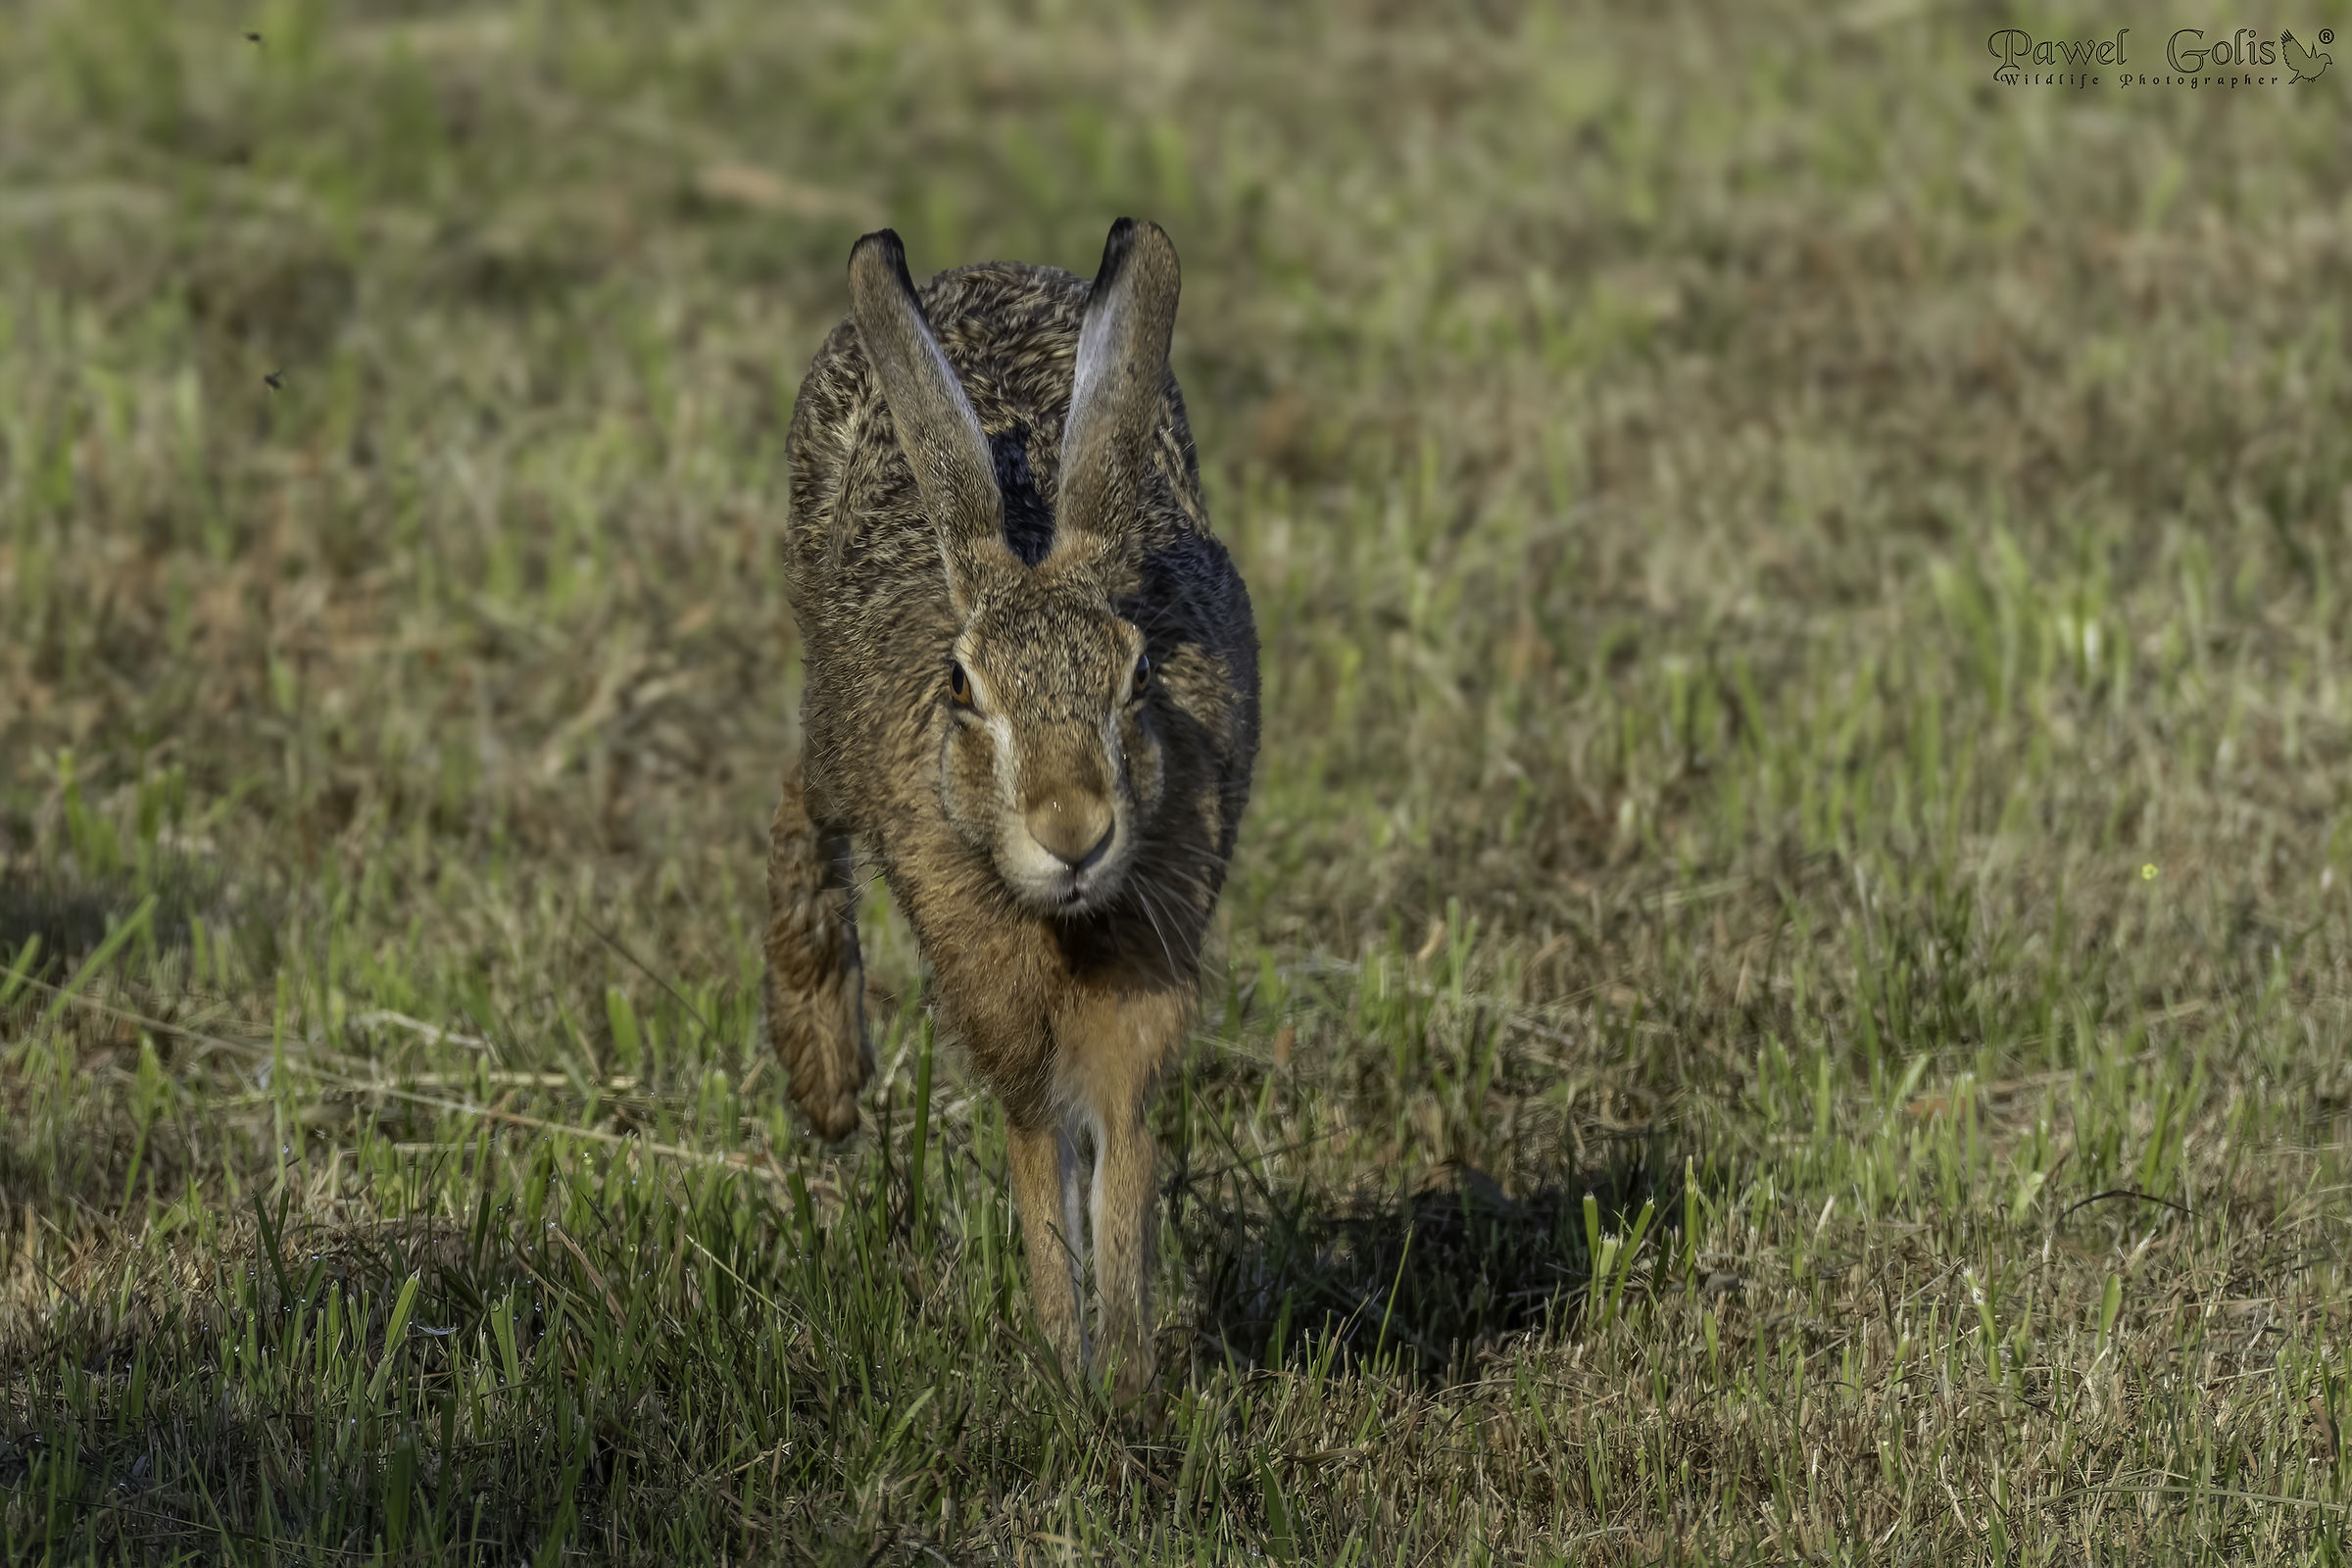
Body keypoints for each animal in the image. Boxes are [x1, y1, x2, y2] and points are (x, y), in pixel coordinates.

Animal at [763, 219, 1259, 1401]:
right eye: (963, 687)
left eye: (1138, 677)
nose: (1072, 830)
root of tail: (976, 271)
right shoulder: (996, 991)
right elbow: (1038, 1145)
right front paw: (1060, 1357)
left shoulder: (1147, 977)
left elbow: (1120, 1148)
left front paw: (1123, 1374)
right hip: (835, 726)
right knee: (802, 806)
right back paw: (827, 1076)